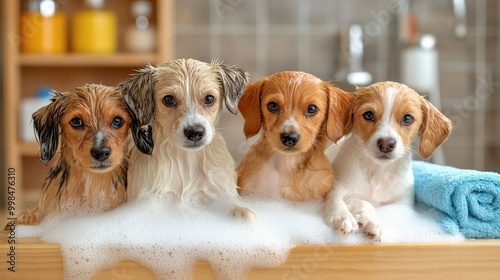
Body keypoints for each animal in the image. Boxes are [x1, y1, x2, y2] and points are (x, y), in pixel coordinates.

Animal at [324, 81, 454, 238]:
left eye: (407, 118)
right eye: (369, 115)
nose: (386, 144)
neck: (378, 172)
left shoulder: (402, 205)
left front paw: (370, 221)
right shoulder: (337, 188)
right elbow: (352, 201)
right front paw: (345, 217)